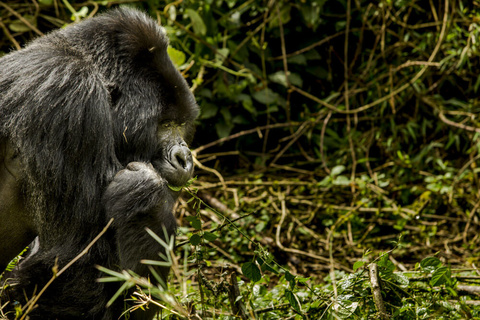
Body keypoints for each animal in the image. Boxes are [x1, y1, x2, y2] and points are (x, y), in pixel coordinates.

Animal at [0, 7, 198, 320]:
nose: (185, 158)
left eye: (181, 124)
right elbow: (74, 265)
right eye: (165, 124)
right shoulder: (69, 96)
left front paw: (144, 199)